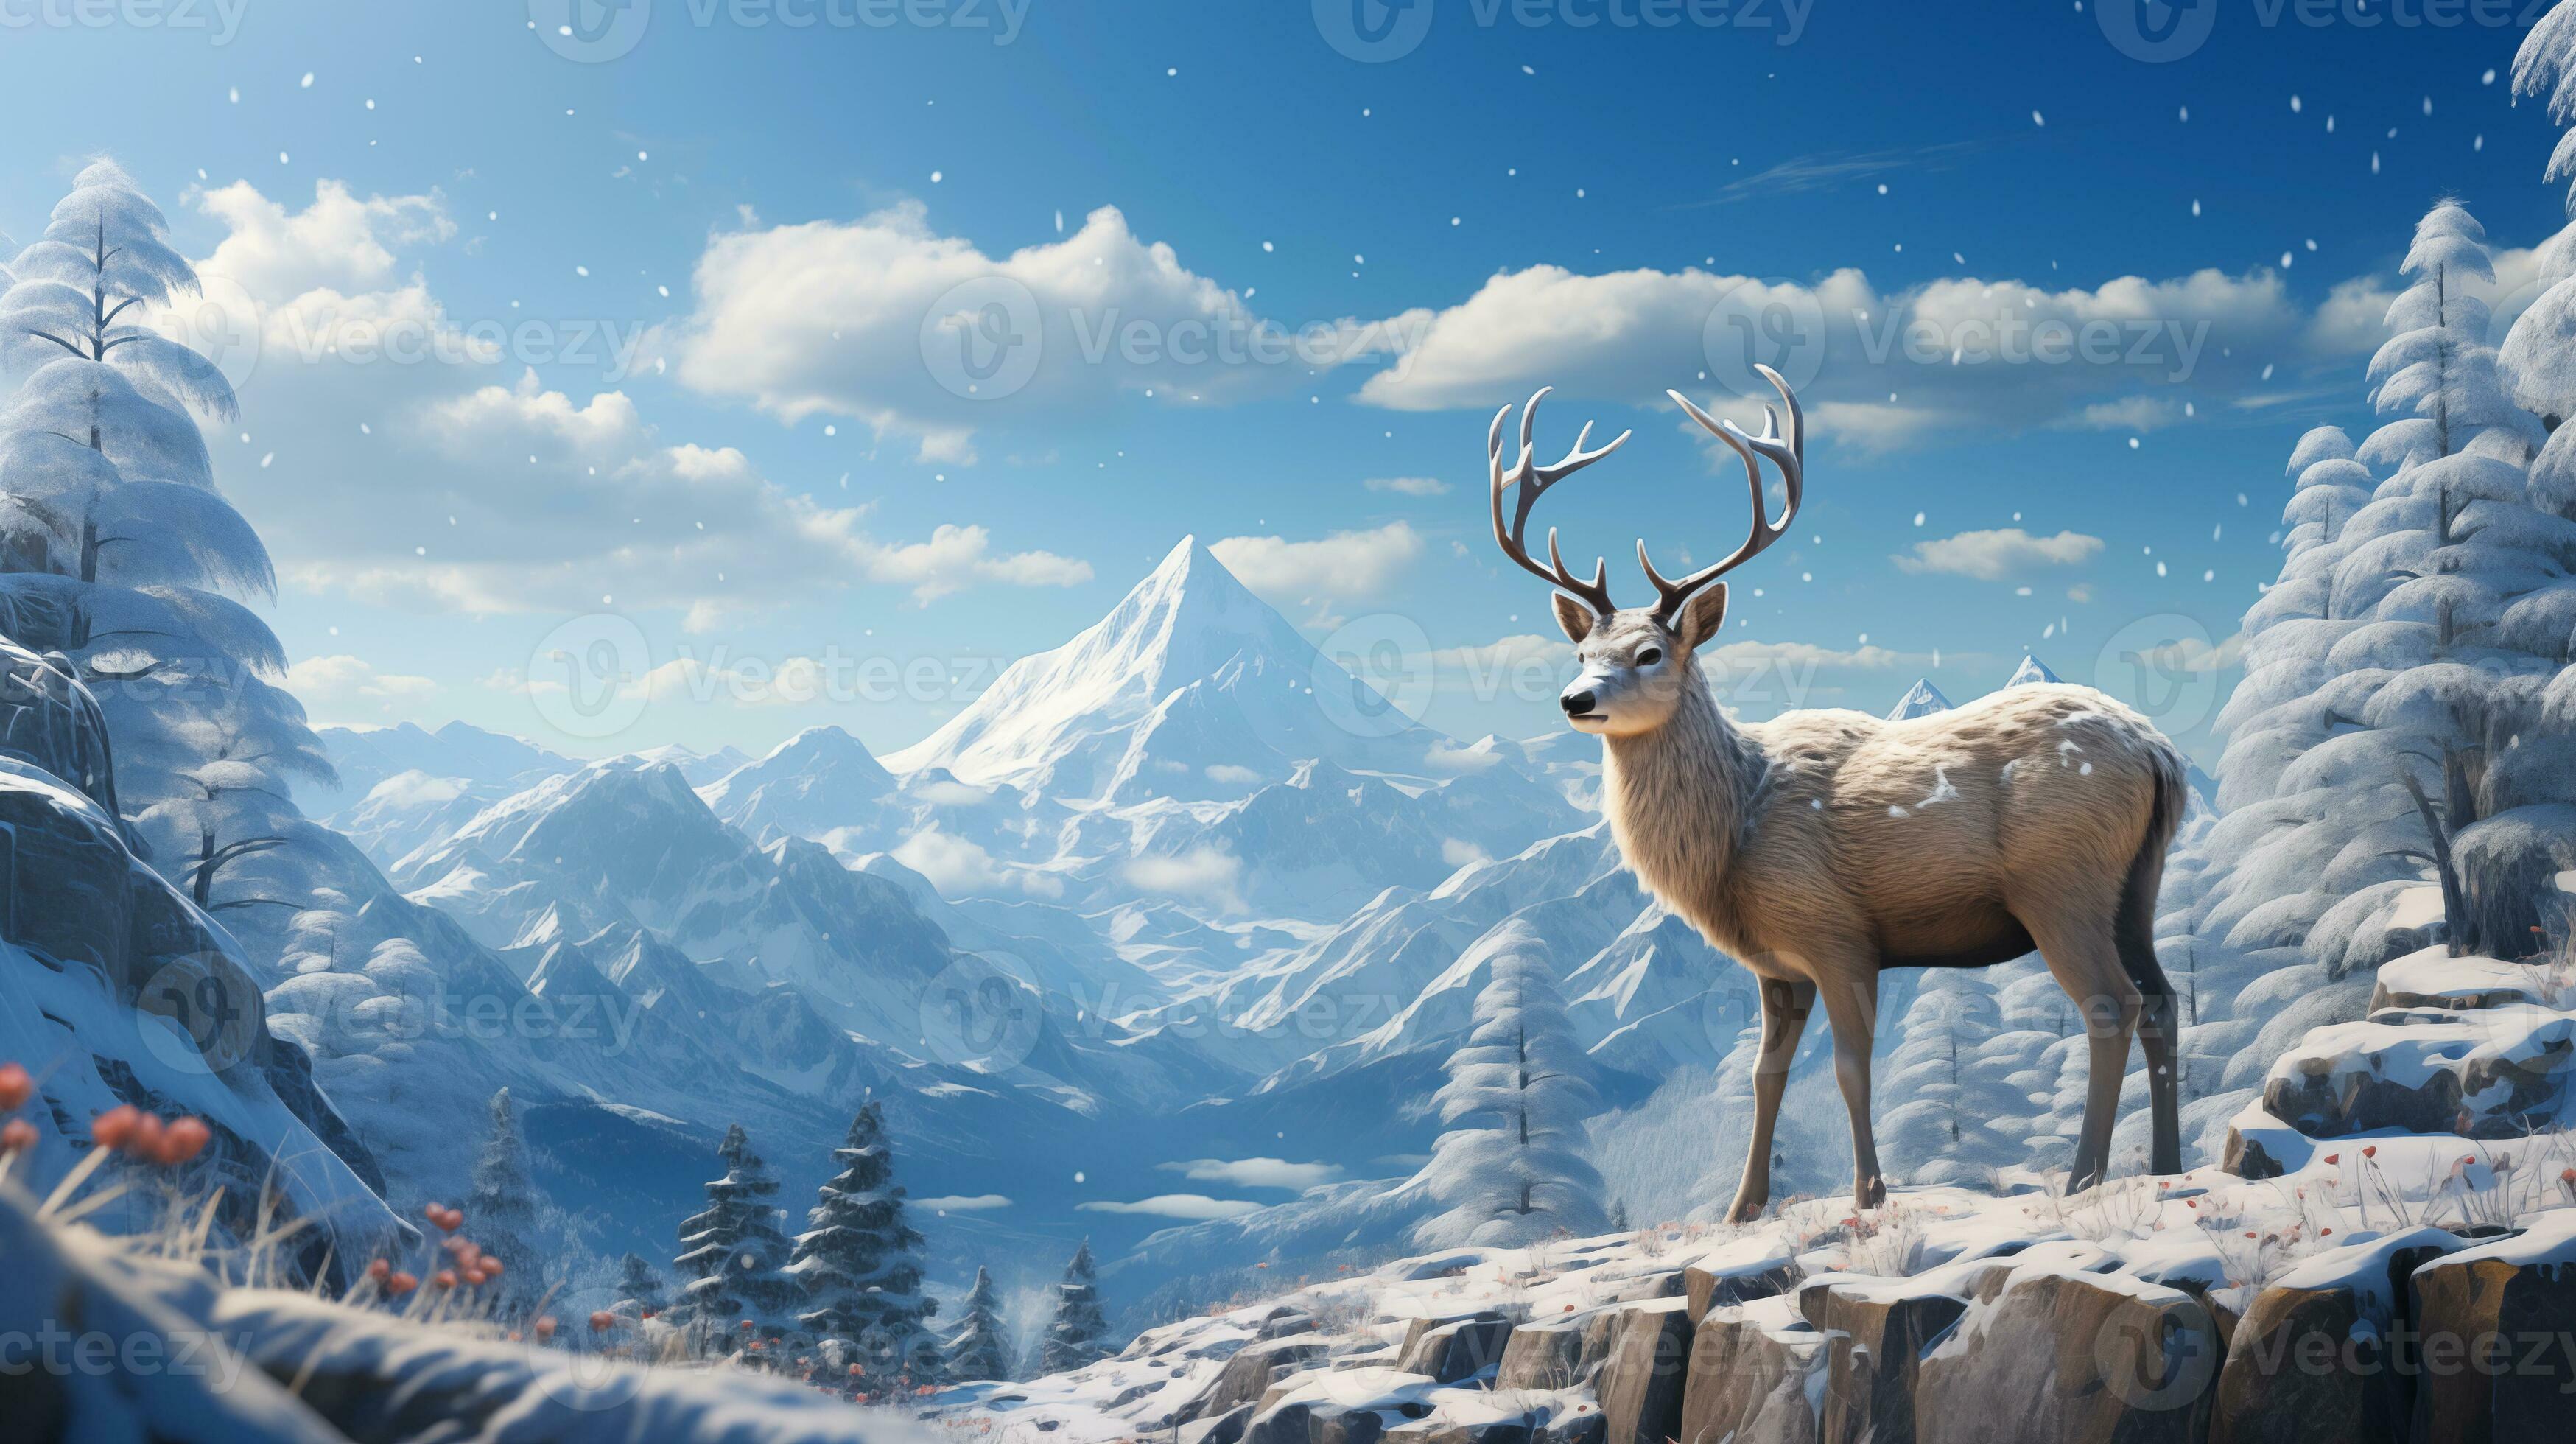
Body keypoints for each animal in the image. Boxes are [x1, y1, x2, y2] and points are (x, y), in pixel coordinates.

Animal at [1487, 365, 2186, 1217]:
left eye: (1650, 652)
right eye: (1582, 650)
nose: (1574, 699)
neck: (1734, 834)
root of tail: (2158, 753)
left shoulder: (1838, 932)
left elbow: (1851, 1069)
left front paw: (1869, 1194)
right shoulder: (1775, 965)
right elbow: (1765, 1075)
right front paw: (1742, 1207)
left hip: (2061, 880)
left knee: (2110, 1005)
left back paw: (2083, 1176)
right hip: (2137, 882)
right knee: (2163, 1000)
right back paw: (2165, 1165)